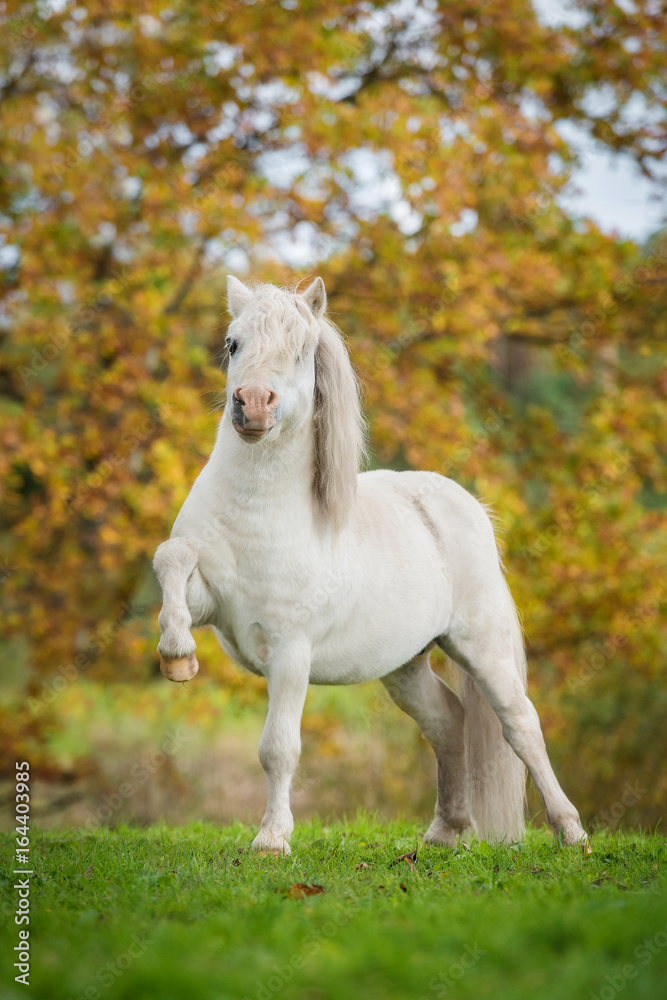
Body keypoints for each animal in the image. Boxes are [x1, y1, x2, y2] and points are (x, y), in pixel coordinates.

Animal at [153, 275, 587, 855]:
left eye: (302, 350)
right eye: (232, 343)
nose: (253, 405)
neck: (259, 511)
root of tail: (466, 505)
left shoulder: (290, 653)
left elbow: (278, 747)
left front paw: (271, 840)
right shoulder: (211, 602)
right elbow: (172, 557)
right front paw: (178, 657)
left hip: (483, 648)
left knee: (521, 725)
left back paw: (572, 832)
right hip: (405, 667)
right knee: (447, 720)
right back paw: (444, 832)